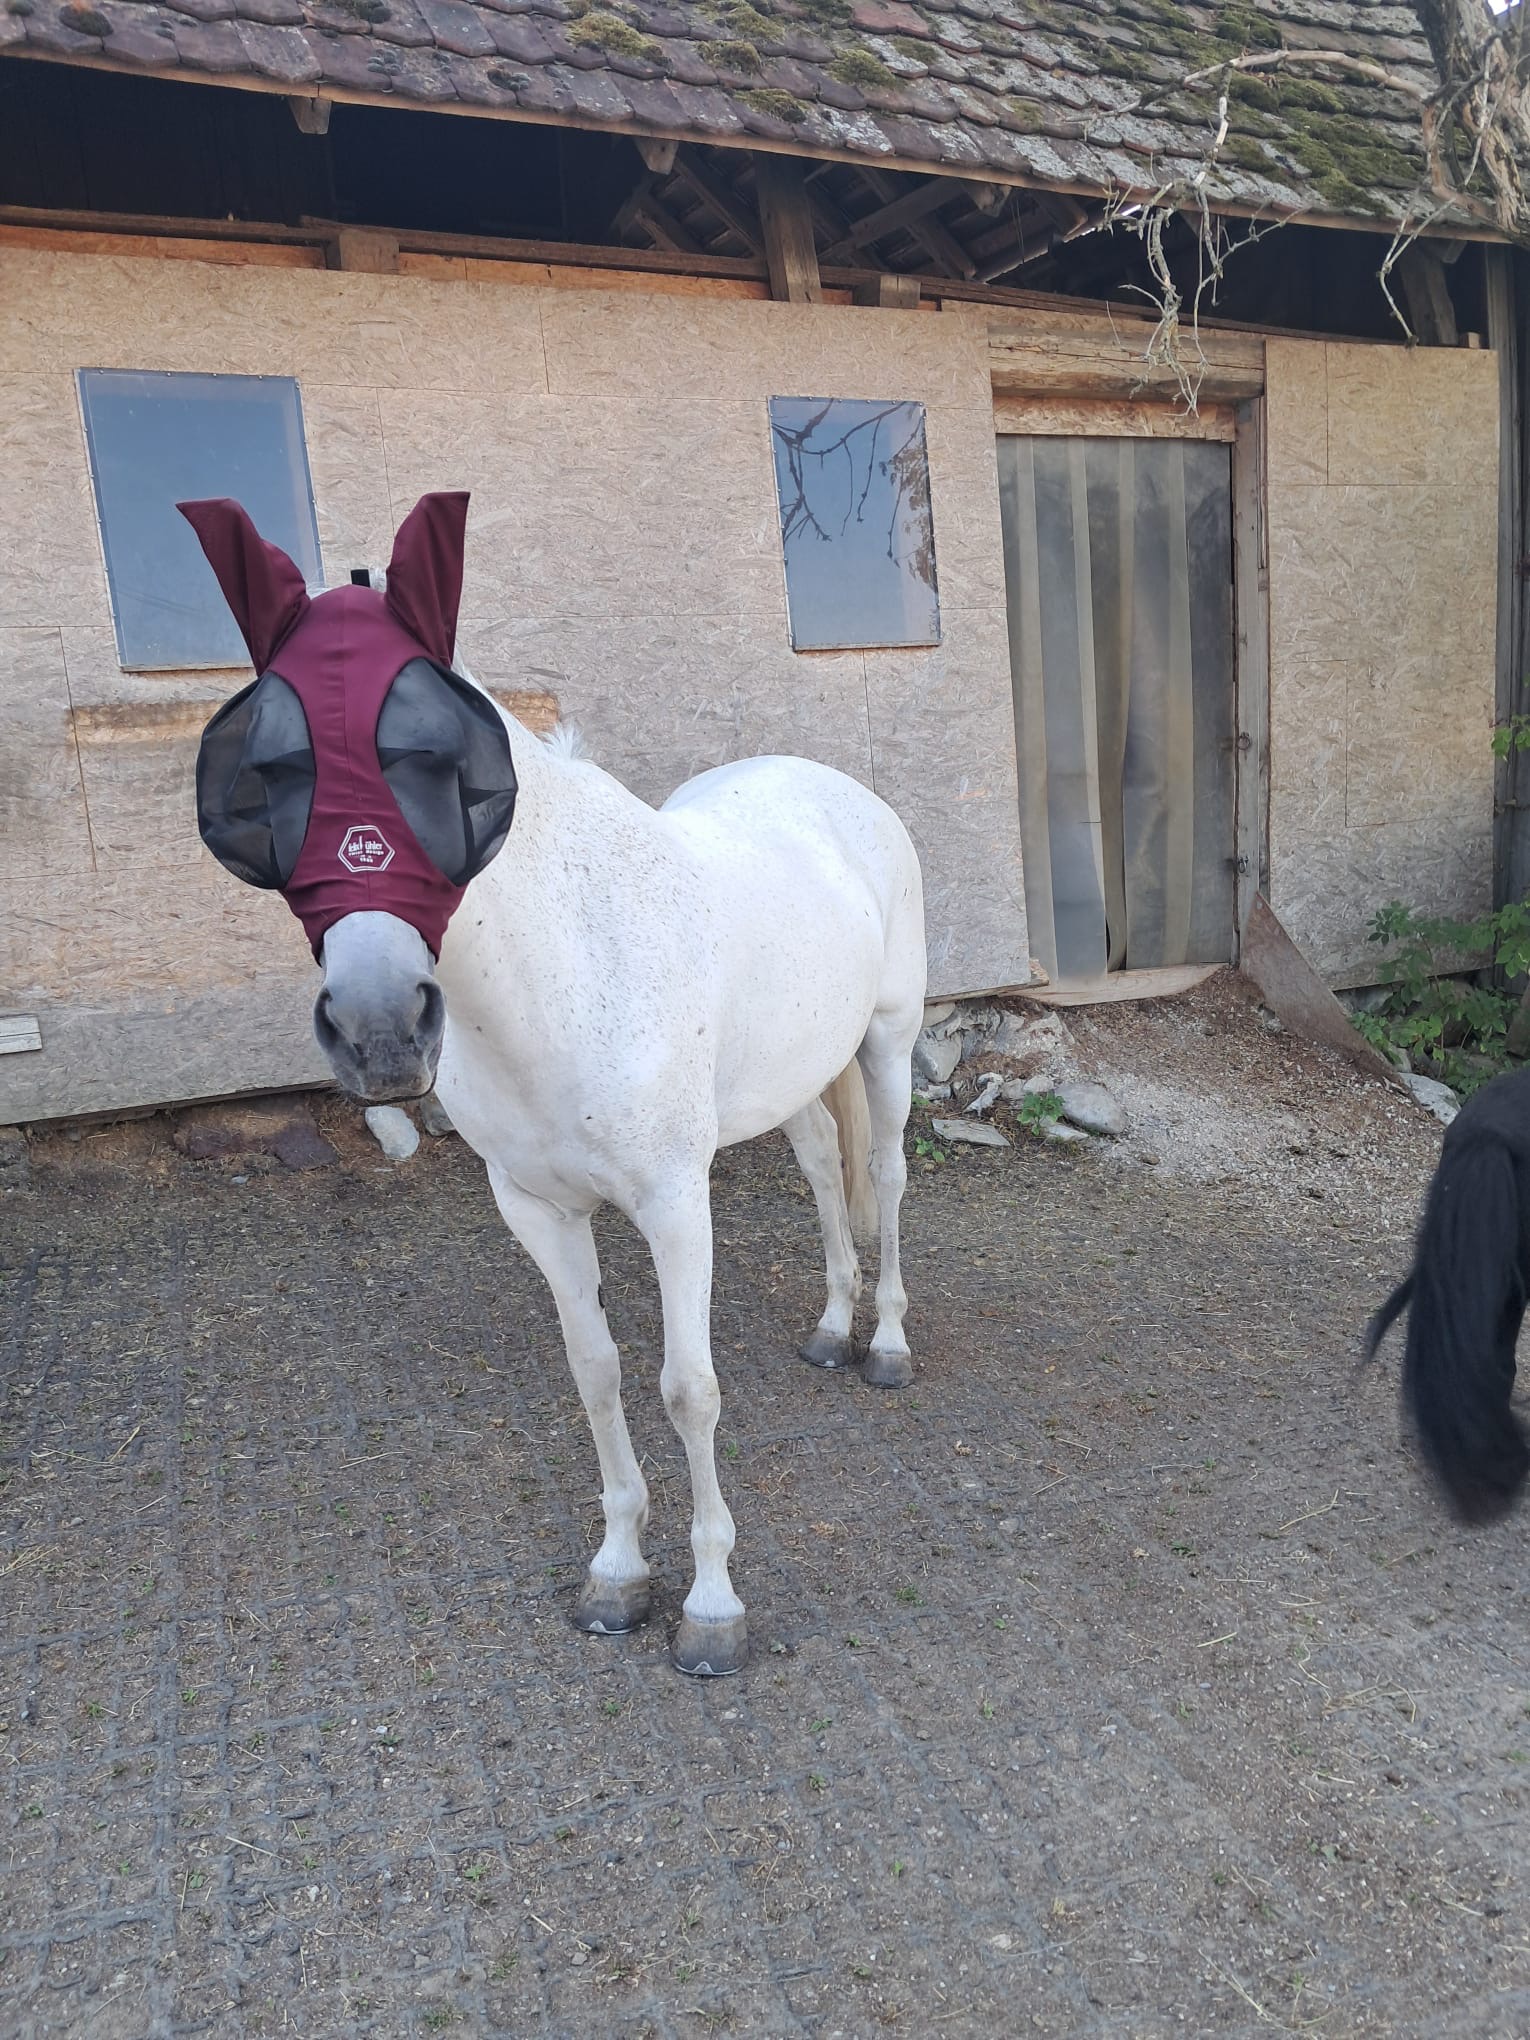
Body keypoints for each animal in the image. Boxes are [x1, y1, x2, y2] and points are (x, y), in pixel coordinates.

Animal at [182, 490, 928, 1676]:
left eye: (438, 763)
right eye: (269, 775)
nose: (380, 1027)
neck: (570, 969)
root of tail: (840, 788)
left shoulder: (673, 1202)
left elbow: (686, 1388)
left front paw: (712, 1605)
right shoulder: (536, 1209)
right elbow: (597, 1372)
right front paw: (618, 1573)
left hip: (889, 1043)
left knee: (889, 1179)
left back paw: (887, 1344)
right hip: (792, 1078)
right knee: (822, 1169)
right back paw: (828, 1326)